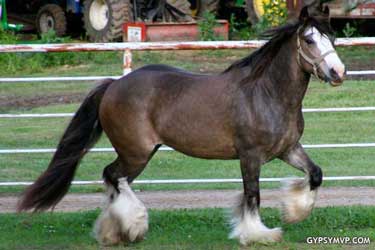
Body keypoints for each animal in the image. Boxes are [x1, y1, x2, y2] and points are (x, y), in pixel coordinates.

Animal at [18, 5, 346, 246]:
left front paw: (294, 214)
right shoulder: (250, 156)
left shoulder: (287, 149)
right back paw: (134, 225)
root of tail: (113, 85)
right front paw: (257, 234)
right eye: (309, 40)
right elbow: (252, 195)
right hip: (136, 152)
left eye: (332, 39)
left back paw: (114, 232)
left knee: (115, 181)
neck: (265, 93)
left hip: (139, 153)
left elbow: (315, 174)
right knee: (113, 176)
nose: (338, 72)